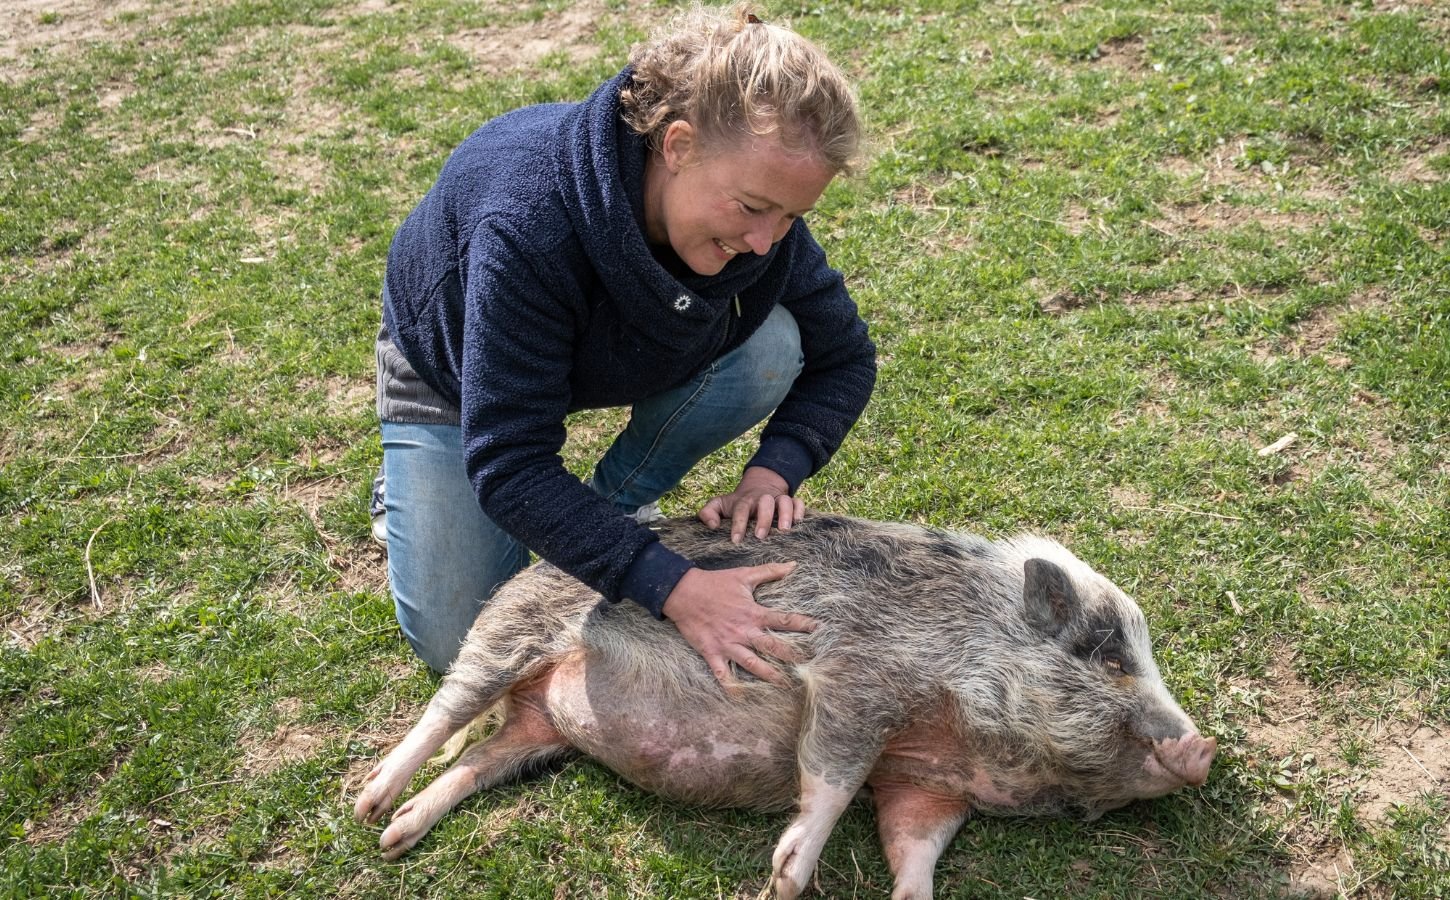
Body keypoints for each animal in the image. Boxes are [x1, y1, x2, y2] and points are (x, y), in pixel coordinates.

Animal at [350, 513, 1212, 898]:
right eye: (1110, 660)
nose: (1203, 749)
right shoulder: (858, 683)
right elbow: (828, 779)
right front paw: (783, 879)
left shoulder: (924, 785)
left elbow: (914, 847)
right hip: (510, 631)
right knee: (447, 710)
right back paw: (368, 804)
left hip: (541, 733)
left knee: (480, 758)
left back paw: (395, 839)